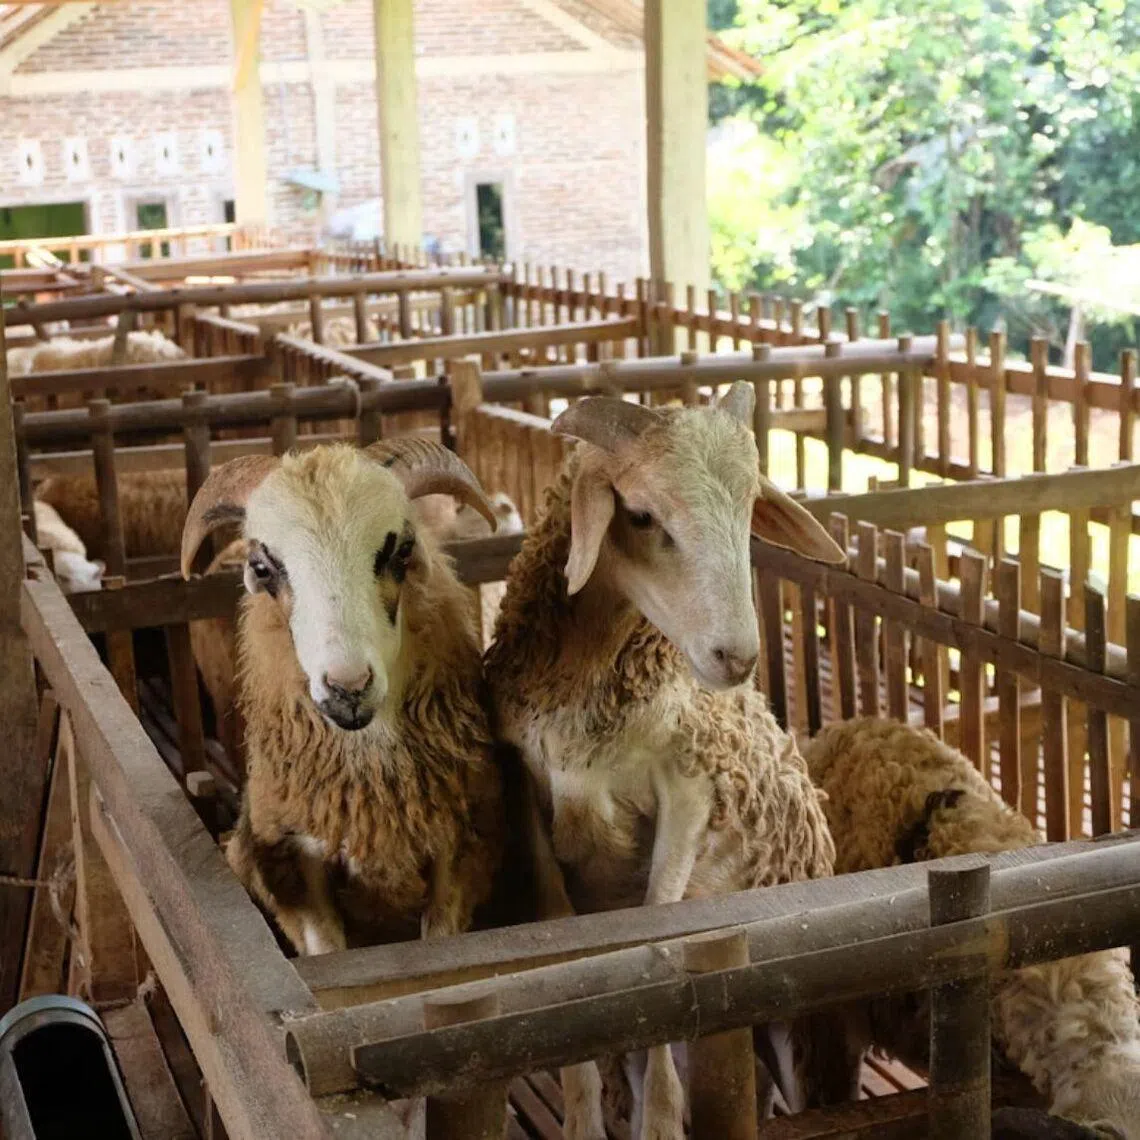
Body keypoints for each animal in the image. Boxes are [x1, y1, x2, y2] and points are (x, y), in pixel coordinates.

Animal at [484, 384, 848, 1140]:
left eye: (749, 509)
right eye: (642, 515)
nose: (736, 657)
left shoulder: (689, 792)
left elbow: (657, 942)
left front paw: (658, 1120)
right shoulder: (527, 791)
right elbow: (564, 955)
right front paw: (585, 1118)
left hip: (797, 1029)